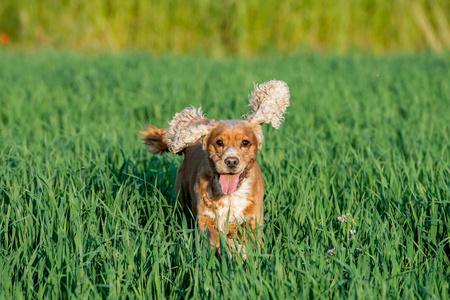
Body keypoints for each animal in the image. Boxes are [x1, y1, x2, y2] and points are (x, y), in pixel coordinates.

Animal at [141, 79, 292, 258]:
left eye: (245, 143)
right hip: (182, 198)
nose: (231, 161)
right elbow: (219, 238)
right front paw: (236, 251)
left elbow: (251, 241)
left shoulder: (253, 220)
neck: (230, 195)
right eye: (219, 142)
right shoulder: (206, 220)